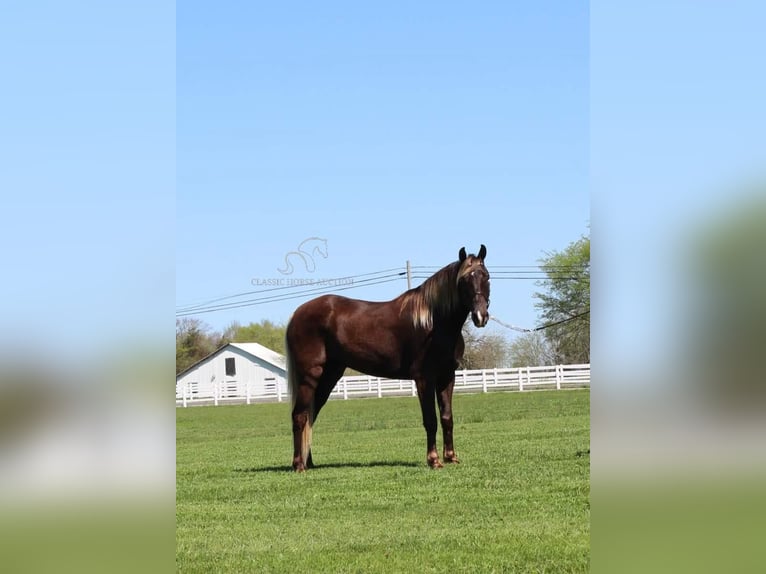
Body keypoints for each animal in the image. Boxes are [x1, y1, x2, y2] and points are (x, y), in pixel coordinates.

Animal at [288, 244, 492, 472]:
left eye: (486, 276)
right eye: (464, 280)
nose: (480, 316)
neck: (433, 322)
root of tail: (297, 314)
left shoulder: (447, 376)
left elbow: (447, 417)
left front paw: (451, 457)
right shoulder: (424, 378)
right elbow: (430, 419)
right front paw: (434, 460)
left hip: (330, 375)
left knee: (310, 415)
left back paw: (309, 462)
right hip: (309, 376)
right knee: (300, 415)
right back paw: (299, 465)